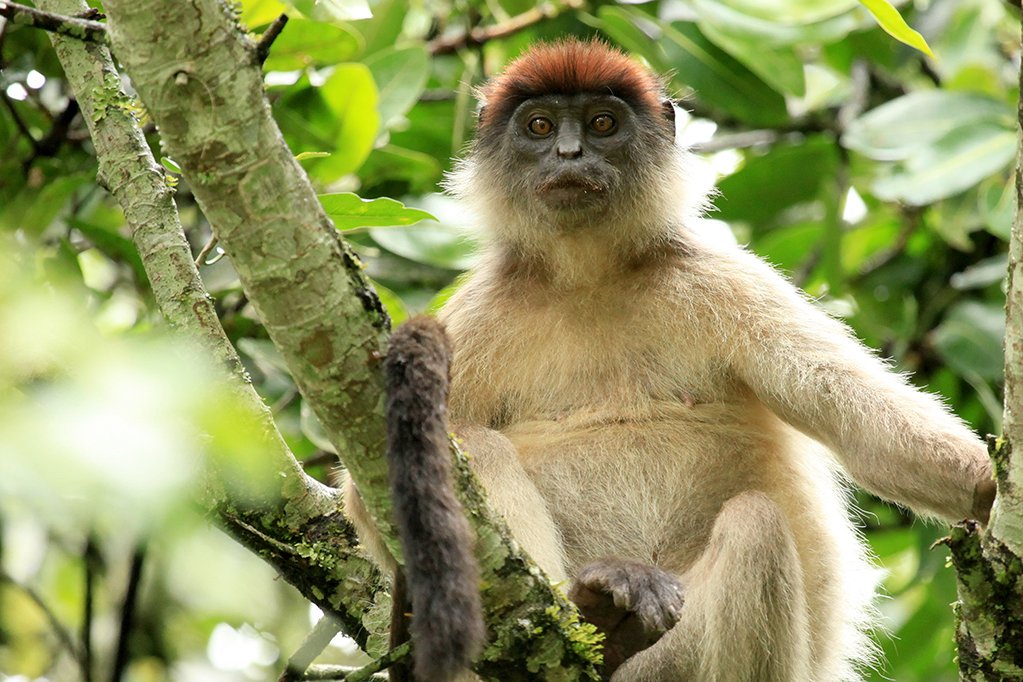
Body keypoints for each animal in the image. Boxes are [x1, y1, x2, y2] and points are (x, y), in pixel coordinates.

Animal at [343, 40, 990, 678]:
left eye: (603, 124)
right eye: (540, 125)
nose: (570, 152)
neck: (588, 276)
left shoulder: (719, 277)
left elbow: (860, 426)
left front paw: (985, 487)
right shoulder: (477, 314)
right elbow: (368, 502)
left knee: (756, 526)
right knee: (477, 444)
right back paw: (592, 615)